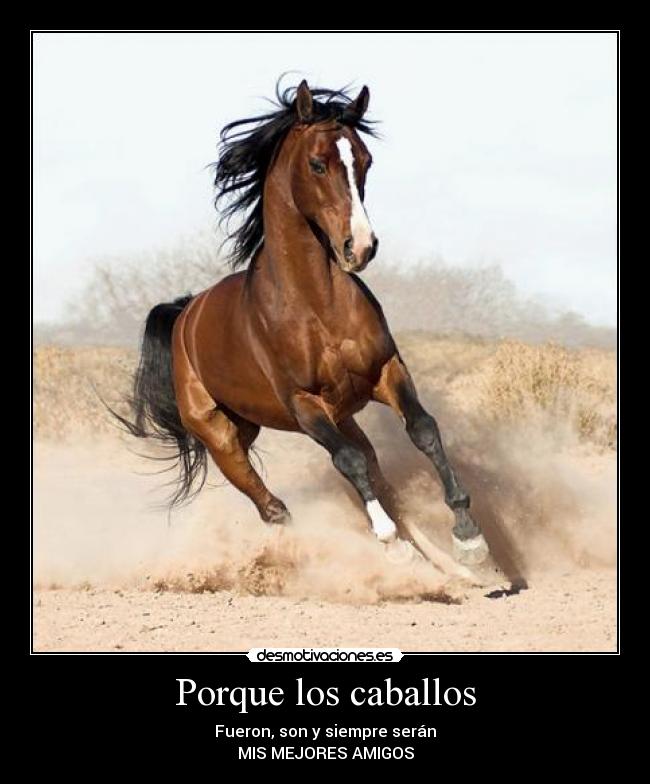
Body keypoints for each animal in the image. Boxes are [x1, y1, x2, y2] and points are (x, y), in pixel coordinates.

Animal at [119, 80, 490, 571]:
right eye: (317, 163)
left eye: (365, 160)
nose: (361, 247)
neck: (317, 305)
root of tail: (185, 315)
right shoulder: (303, 403)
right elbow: (348, 462)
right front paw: (390, 540)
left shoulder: (386, 371)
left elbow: (423, 430)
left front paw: (469, 537)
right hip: (221, 436)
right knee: (273, 506)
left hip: (326, 416)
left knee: (372, 470)